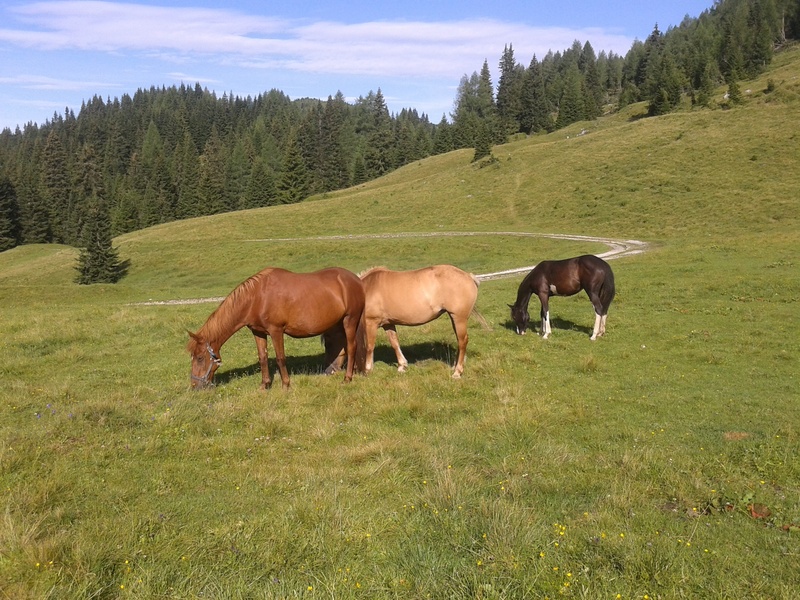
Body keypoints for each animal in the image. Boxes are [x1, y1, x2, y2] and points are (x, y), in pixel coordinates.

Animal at [187, 267, 366, 390]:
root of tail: (356, 280)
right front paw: (264, 385)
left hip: (350, 320)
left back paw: (347, 378)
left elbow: (280, 358)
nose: (195, 386)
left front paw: (286, 385)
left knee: (352, 347)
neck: (256, 297)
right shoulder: (258, 332)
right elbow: (263, 358)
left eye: (200, 358)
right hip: (340, 323)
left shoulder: (276, 331)